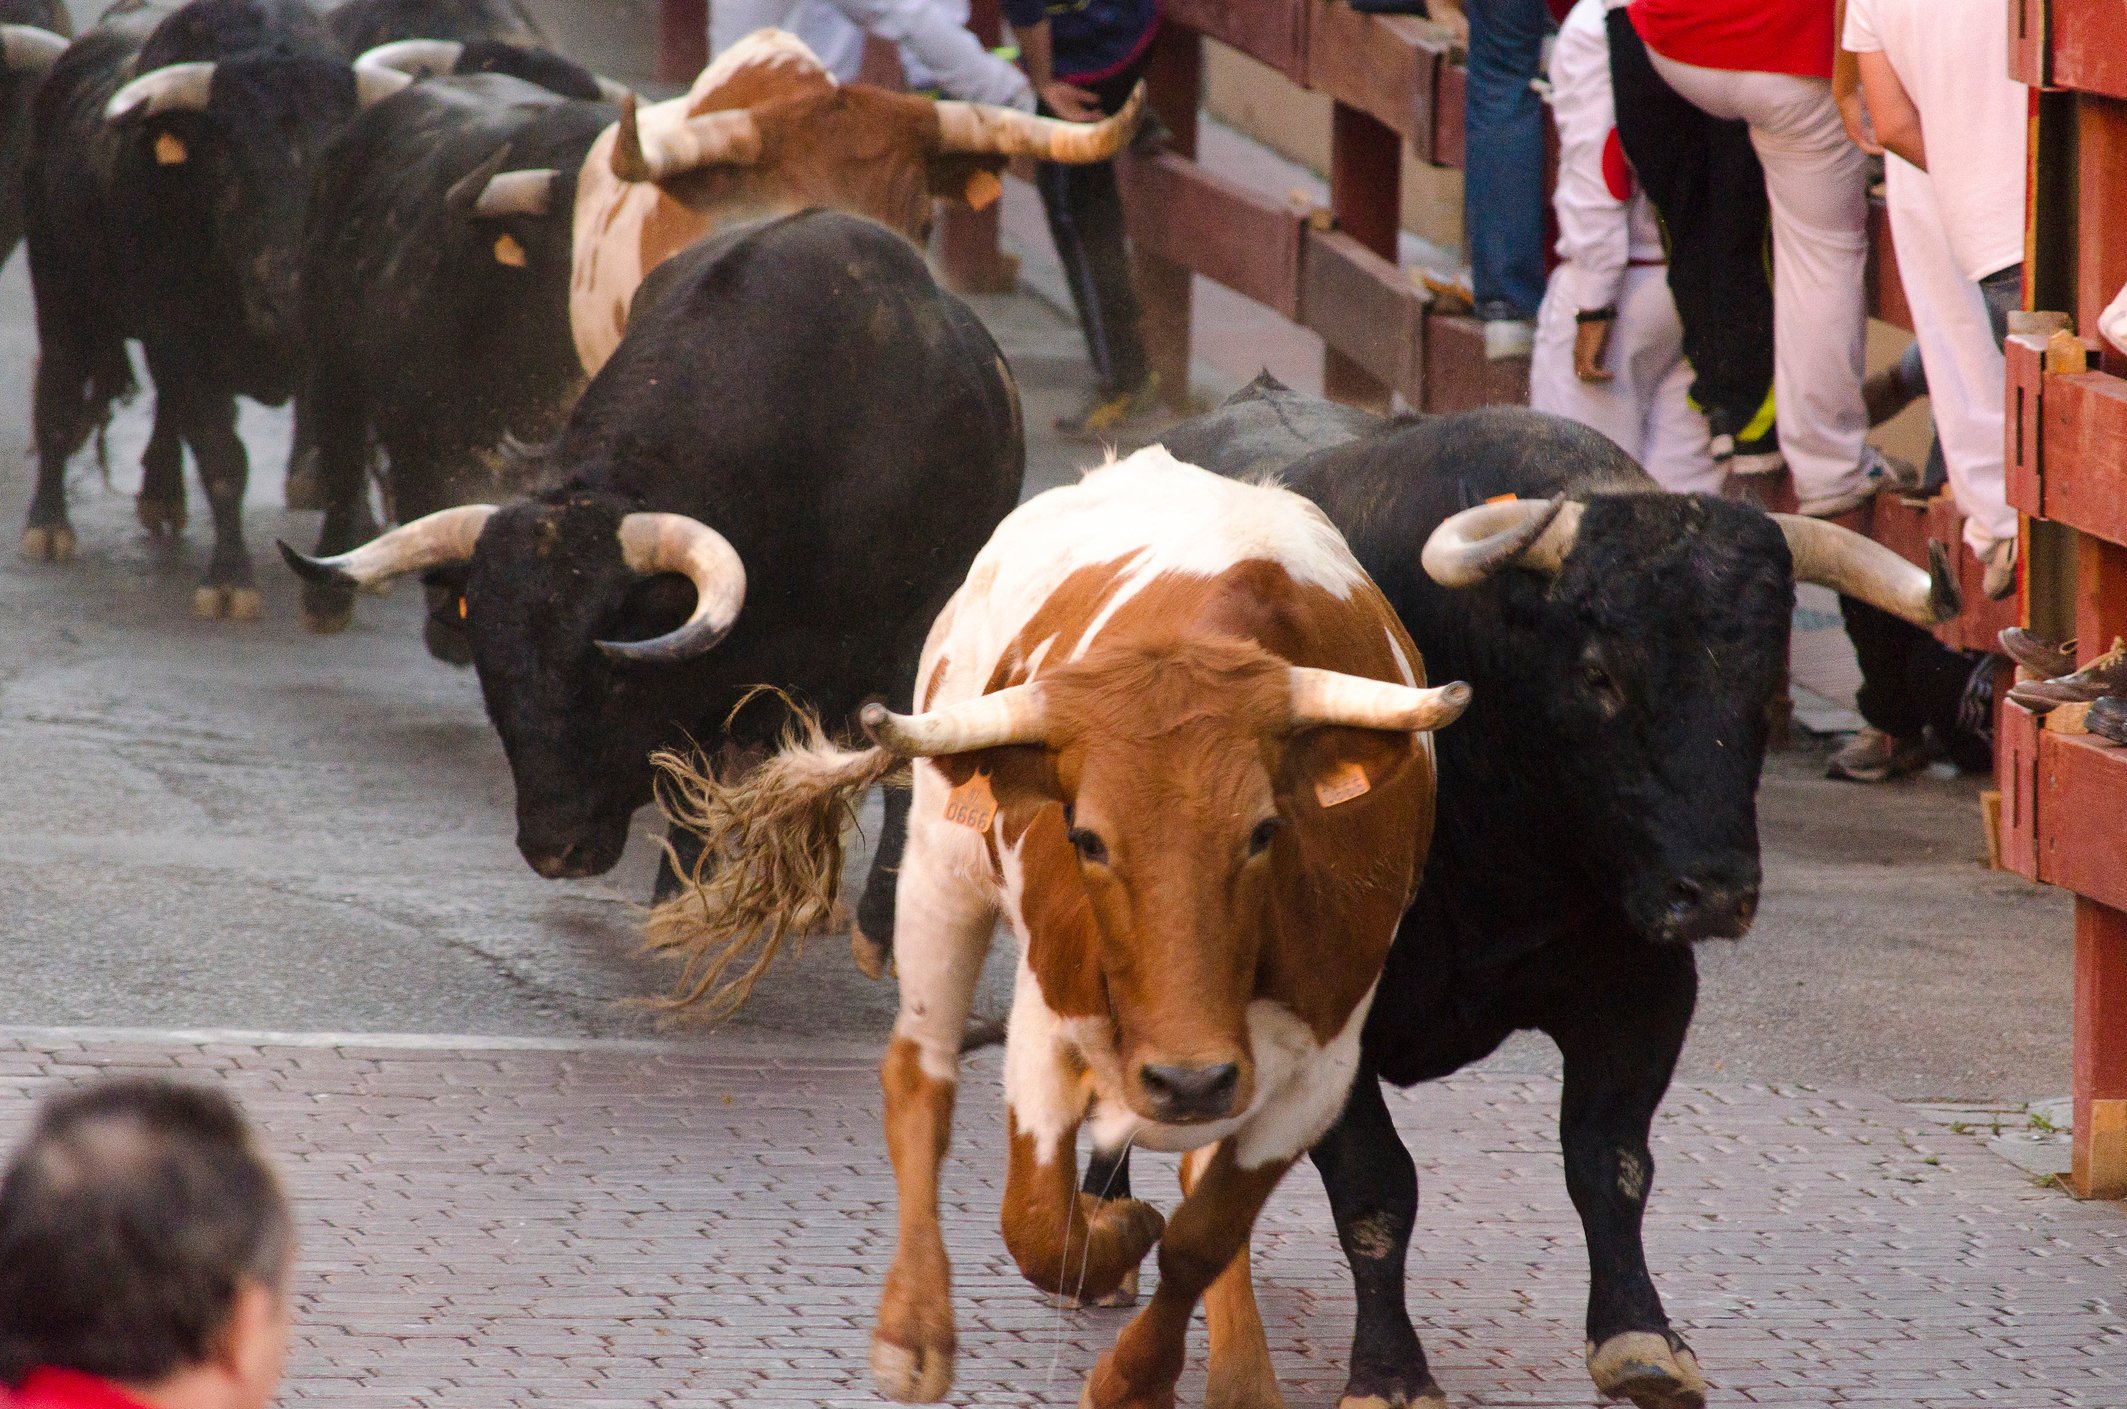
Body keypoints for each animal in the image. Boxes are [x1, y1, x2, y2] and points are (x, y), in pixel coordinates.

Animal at [281, 210, 1024, 936]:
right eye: (492, 668)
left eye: (612, 677)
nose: (554, 849)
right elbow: (695, 778)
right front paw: (680, 894)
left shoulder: (912, 646)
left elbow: (905, 772)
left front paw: (882, 924)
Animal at [639, 437, 1471, 1406]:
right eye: (1086, 838)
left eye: (1266, 831)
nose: (1189, 1078)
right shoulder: (1050, 1014)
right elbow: (1037, 1221)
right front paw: (1113, 1238)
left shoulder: (1320, 1065)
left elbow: (1204, 1230)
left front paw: (1144, 1375)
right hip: (939, 870)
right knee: (919, 1074)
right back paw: (912, 1331)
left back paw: (1236, 1368)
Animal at [1029, 377, 1950, 1409]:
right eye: (1597, 673)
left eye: (1761, 682)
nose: (1713, 891)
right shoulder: (1324, 1009)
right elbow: (1377, 1185)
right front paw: (1389, 1371)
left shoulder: (1643, 982)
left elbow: (1609, 1159)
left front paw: (1639, 1337)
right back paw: (1100, 1232)